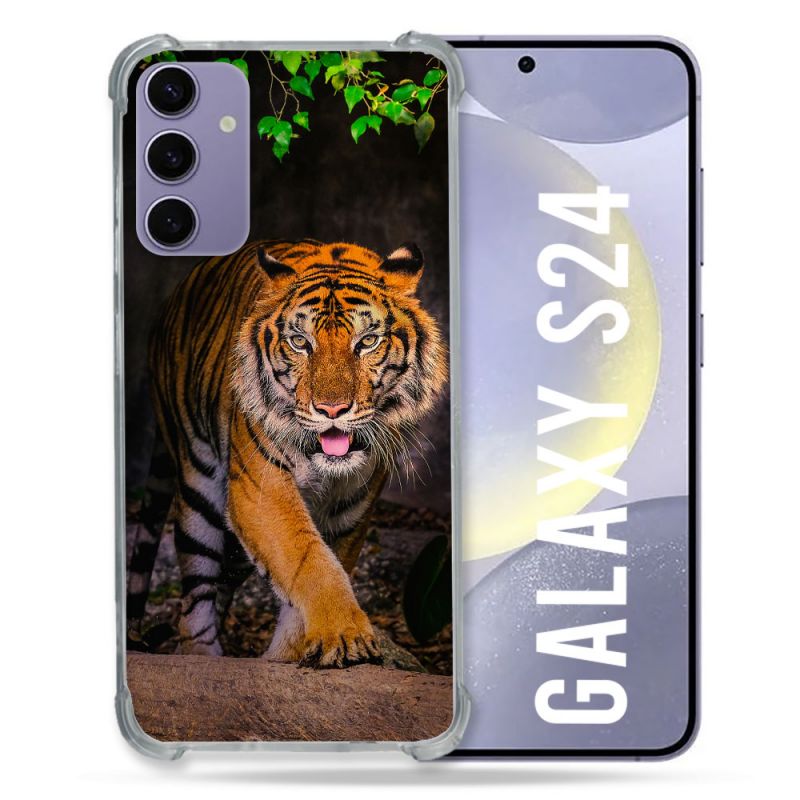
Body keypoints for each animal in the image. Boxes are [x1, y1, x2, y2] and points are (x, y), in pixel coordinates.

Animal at [126, 238, 447, 668]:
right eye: (300, 343)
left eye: (367, 342)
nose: (331, 409)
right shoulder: (260, 489)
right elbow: (308, 560)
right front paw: (344, 635)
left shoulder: (352, 509)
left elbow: (321, 567)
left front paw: (291, 654)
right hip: (199, 490)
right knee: (196, 595)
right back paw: (202, 655)